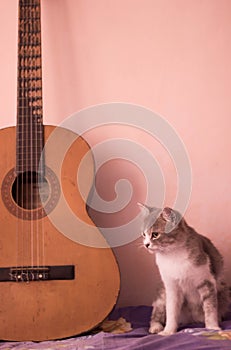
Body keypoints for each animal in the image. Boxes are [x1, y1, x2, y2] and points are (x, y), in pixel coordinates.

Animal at [138, 205, 230, 336]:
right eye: (143, 234)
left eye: (155, 234)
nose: (146, 244)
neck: (172, 255)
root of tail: (191, 319)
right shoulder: (171, 287)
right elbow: (171, 311)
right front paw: (168, 331)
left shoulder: (207, 281)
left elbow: (210, 307)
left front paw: (213, 327)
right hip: (162, 295)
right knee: (156, 313)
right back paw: (156, 327)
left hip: (224, 291)